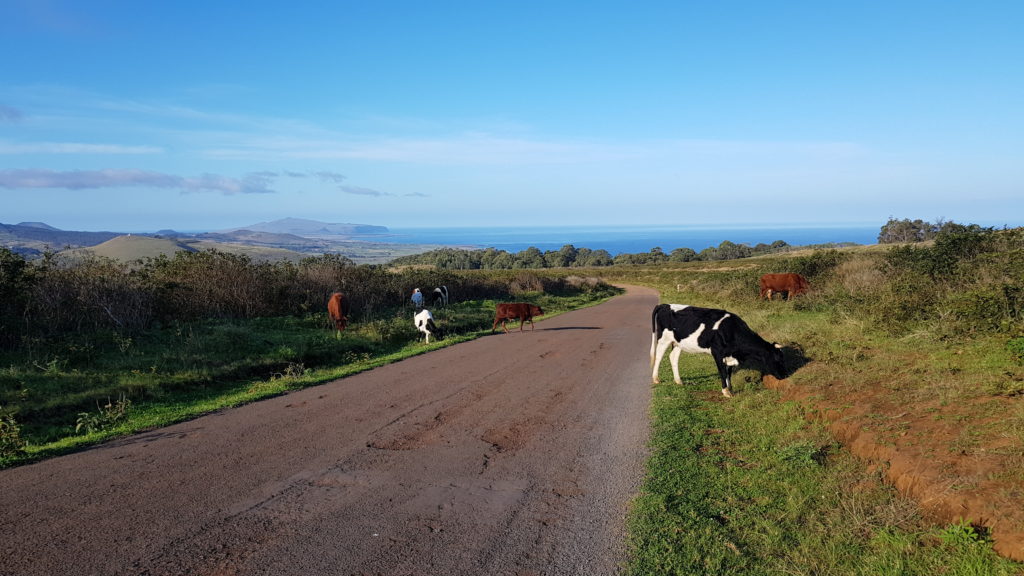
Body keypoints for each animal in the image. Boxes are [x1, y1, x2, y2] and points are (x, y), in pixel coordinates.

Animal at [651, 303, 786, 397]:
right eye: (776, 360)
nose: (783, 375)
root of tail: (665, 305)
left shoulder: (730, 355)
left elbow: (728, 372)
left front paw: (730, 389)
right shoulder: (717, 352)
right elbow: (722, 372)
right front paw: (725, 391)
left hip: (678, 342)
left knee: (673, 357)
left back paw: (678, 381)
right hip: (663, 339)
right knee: (658, 356)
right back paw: (656, 379)